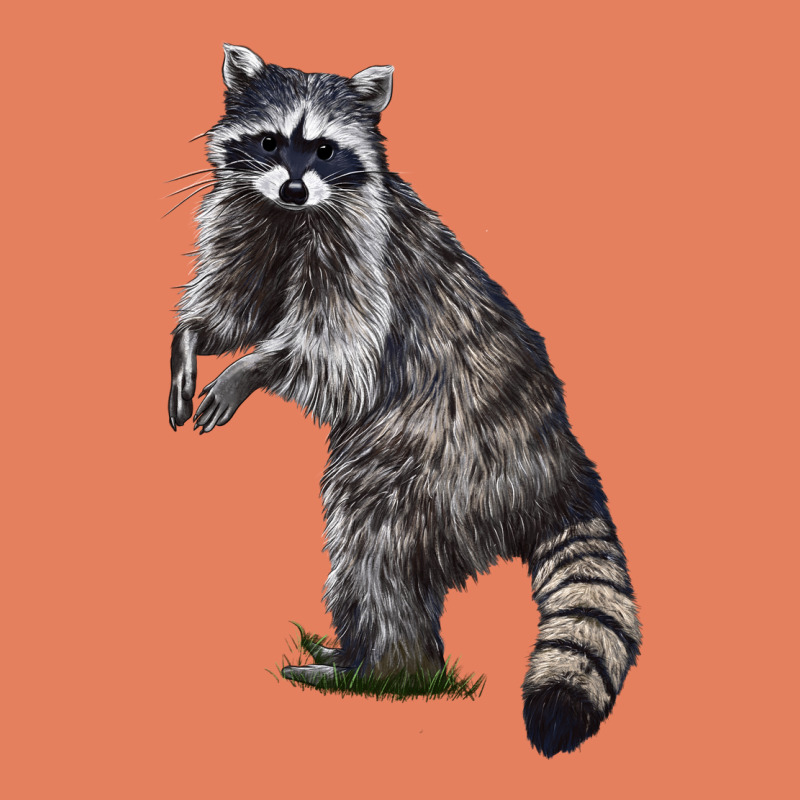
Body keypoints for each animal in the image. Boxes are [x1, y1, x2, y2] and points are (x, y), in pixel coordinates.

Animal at [167, 44, 641, 757]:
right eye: (270, 141)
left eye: (325, 149)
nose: (294, 188)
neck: (292, 217)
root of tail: (558, 466)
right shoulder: (249, 219)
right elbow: (236, 303)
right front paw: (193, 338)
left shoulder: (362, 255)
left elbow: (338, 349)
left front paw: (252, 368)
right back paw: (359, 657)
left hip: (441, 461)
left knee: (375, 541)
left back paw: (385, 669)